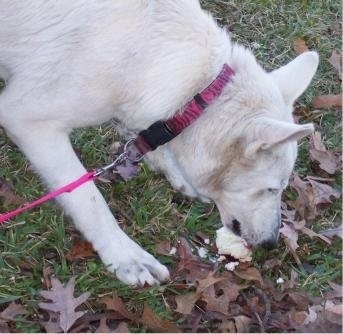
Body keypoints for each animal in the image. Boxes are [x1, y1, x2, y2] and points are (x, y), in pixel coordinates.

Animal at [0, 0, 320, 284]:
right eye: (271, 189)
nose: (271, 243)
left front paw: (177, 176)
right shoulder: (25, 118)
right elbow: (89, 200)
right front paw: (126, 256)